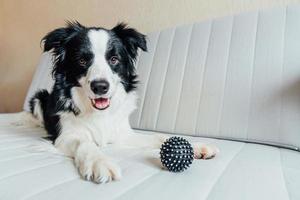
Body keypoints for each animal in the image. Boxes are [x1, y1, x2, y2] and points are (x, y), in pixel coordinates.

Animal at [22, 21, 218, 183]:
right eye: (82, 60)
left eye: (114, 59)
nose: (100, 87)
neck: (98, 113)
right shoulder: (65, 136)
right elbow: (84, 143)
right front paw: (99, 162)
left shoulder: (122, 133)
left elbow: (157, 137)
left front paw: (196, 146)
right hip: (39, 96)